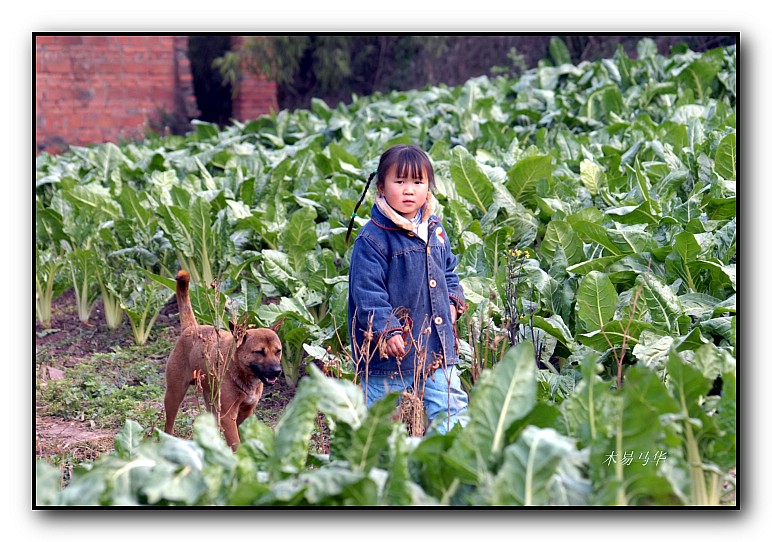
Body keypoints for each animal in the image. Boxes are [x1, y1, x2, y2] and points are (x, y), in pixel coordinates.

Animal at [163, 270, 284, 452]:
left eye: (278, 351)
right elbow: (236, 444)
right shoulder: (228, 416)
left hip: (211, 403)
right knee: (168, 427)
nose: (277, 371)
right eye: (259, 352)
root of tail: (191, 328)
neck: (240, 370)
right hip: (174, 395)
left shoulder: (245, 412)